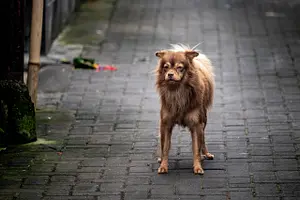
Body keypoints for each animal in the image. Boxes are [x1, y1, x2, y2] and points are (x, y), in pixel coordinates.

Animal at [155, 43, 216, 174]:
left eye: (180, 68)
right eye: (166, 67)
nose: (170, 74)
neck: (178, 91)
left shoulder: (196, 124)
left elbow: (196, 148)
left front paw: (198, 167)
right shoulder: (165, 124)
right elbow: (165, 147)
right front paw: (163, 166)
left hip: (203, 120)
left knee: (203, 138)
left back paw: (205, 154)